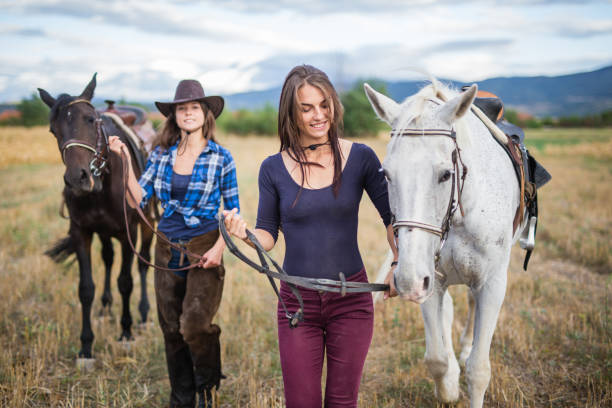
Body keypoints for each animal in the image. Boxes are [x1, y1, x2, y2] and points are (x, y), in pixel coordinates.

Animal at [38, 75, 154, 362]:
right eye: (53, 130)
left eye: (91, 119)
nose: (77, 178)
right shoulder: (82, 232)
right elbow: (85, 288)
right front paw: (86, 347)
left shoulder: (128, 233)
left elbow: (126, 281)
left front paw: (126, 333)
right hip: (103, 232)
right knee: (108, 259)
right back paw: (105, 309)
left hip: (148, 226)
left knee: (143, 264)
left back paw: (144, 314)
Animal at [364, 80, 524, 408]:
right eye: (386, 174)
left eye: (446, 174)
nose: (407, 280)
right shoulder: (431, 281)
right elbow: (436, 359)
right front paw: (449, 386)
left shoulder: (492, 284)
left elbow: (479, 370)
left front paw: (465, 365)